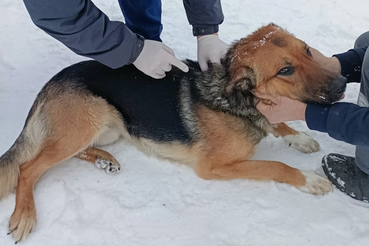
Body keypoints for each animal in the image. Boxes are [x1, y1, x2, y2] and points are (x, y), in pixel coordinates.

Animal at [0, 24, 344, 241]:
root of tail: (49, 84)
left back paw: (104, 159)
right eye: (285, 70)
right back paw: (25, 214)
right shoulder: (213, 167)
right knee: (27, 168)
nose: (342, 84)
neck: (237, 100)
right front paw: (308, 179)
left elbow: (278, 124)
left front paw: (298, 136)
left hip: (111, 126)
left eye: (308, 51)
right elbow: (276, 165)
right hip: (91, 117)